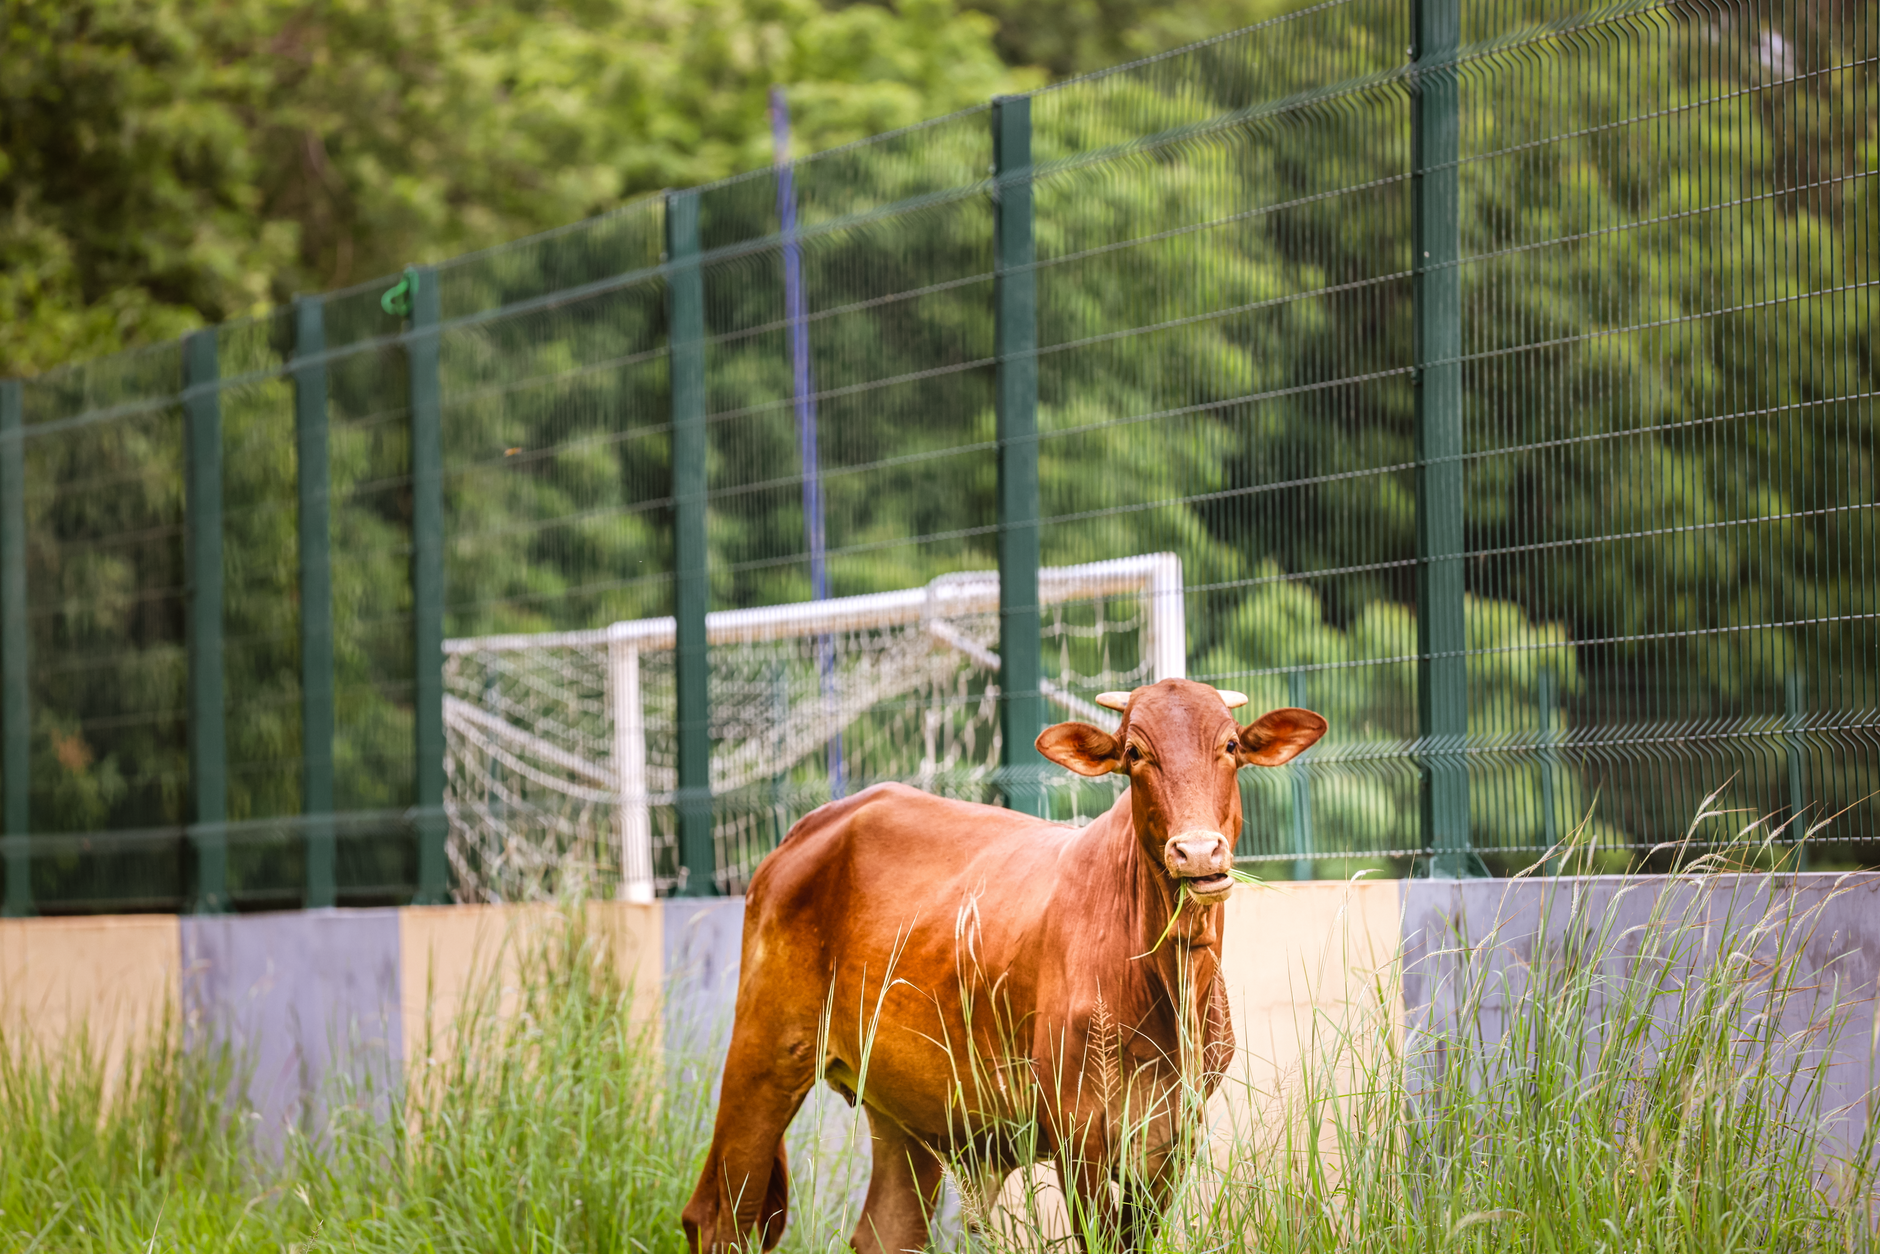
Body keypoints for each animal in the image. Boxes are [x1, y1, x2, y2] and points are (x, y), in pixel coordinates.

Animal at [681, 678, 1328, 1254]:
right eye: (1135, 753)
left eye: (1231, 745)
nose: (1197, 851)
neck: (1170, 989)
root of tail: (810, 828)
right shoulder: (1079, 1130)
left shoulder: (1173, 1135)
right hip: (766, 1053)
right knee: (717, 1217)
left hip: (906, 1111)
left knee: (888, 1232)